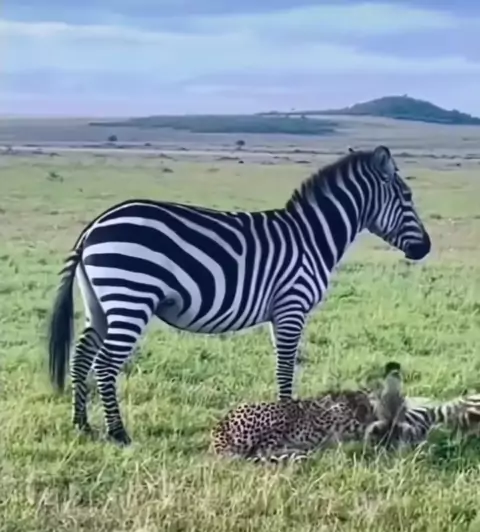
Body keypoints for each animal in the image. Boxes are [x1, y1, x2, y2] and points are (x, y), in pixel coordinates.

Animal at [47, 145, 431, 445]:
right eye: (408, 197)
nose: (426, 248)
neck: (312, 237)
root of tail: (95, 226)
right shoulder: (292, 305)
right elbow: (286, 368)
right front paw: (287, 421)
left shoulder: (281, 311)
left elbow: (283, 366)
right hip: (131, 297)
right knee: (104, 364)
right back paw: (118, 434)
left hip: (100, 303)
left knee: (81, 357)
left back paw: (81, 425)